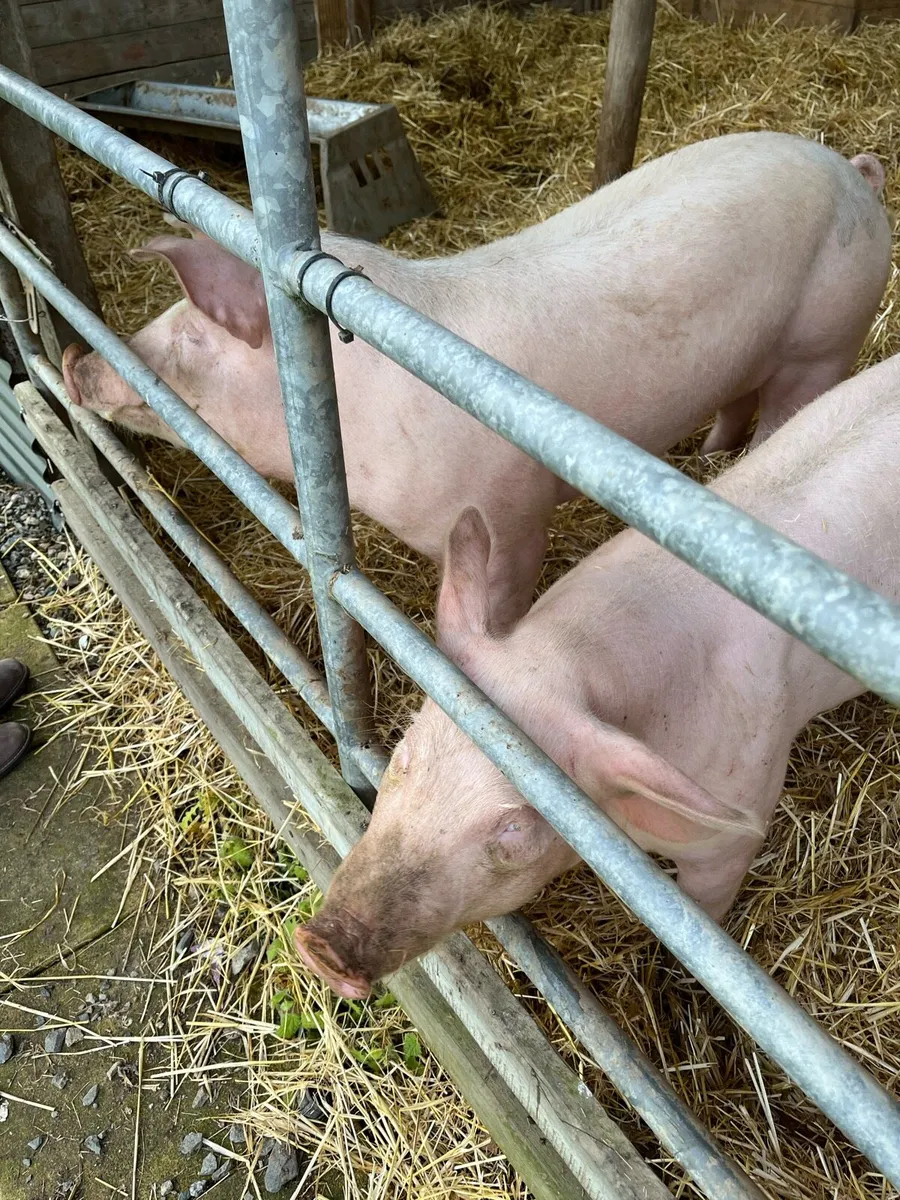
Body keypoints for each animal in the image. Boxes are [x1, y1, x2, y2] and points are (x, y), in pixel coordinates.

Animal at [63, 131, 890, 625]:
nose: (75, 362)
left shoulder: (507, 512)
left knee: (789, 411)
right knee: (739, 399)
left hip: (827, 335)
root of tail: (853, 172)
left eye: (188, 337)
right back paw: (715, 456)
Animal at [294, 352, 900, 998]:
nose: (321, 946)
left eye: (514, 827)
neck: (571, 654)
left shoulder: (738, 816)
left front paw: (679, 985)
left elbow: (708, 917)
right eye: (405, 755)